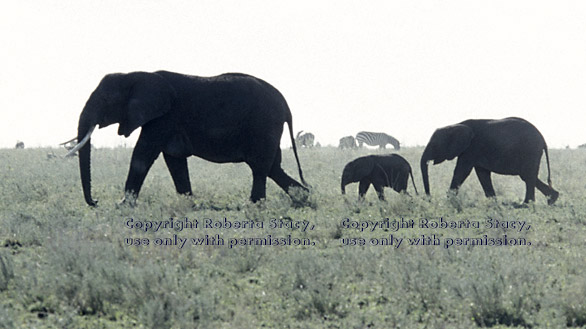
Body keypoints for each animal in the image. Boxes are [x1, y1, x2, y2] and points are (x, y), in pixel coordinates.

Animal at [65, 70, 306, 205]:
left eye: (106, 100)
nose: (95, 201)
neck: (136, 75)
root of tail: (284, 103)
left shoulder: (165, 116)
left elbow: (143, 153)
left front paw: (122, 205)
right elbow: (174, 160)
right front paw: (189, 203)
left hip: (263, 124)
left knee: (259, 167)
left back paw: (254, 205)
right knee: (273, 168)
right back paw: (304, 198)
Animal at [420, 116, 556, 204]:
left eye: (434, 146)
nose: (429, 199)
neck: (456, 125)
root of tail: (542, 139)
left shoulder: (471, 149)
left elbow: (461, 171)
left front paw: (448, 201)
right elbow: (482, 174)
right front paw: (493, 202)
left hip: (530, 152)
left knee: (528, 176)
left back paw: (527, 205)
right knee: (527, 176)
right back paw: (552, 200)